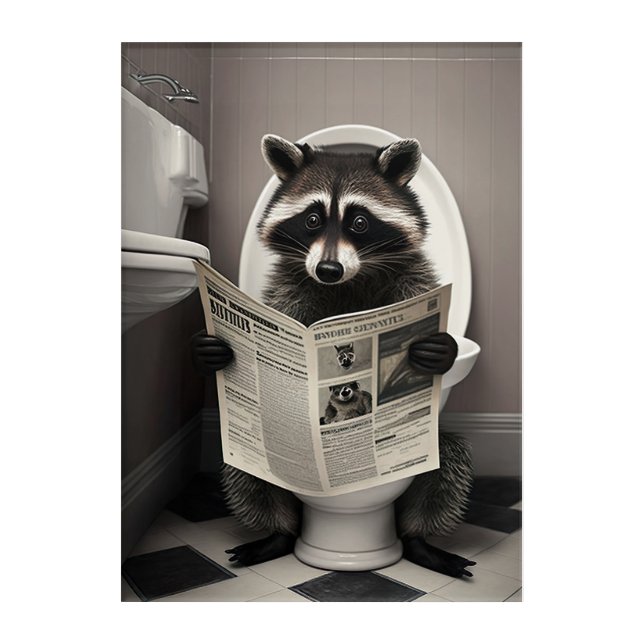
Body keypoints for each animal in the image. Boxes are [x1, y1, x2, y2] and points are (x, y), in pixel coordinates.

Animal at [191, 135, 474, 578]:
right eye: (311, 219)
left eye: (359, 223)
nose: (327, 269)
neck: (347, 282)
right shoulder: (290, 289)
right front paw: (212, 351)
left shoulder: (411, 280)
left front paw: (441, 349)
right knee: (245, 467)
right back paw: (279, 532)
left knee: (448, 462)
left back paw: (419, 539)